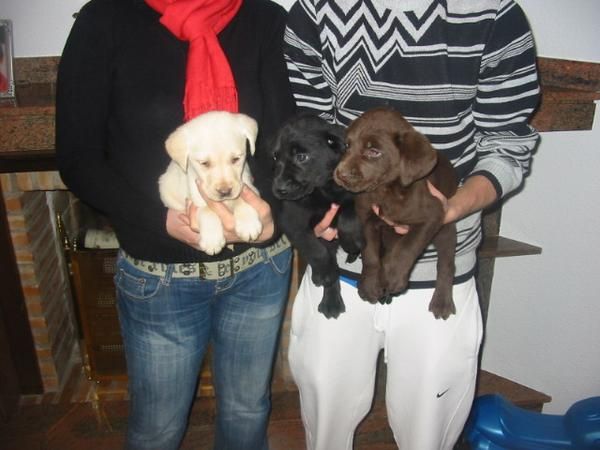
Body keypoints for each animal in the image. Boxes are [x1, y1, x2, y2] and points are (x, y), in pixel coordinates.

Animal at [159, 111, 262, 255]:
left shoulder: (248, 186)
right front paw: (212, 241)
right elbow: (208, 210)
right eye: (204, 163)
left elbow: (242, 200)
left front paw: (249, 225)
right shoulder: (195, 201)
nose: (225, 192)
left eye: (236, 159)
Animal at [270, 114, 360, 318]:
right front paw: (325, 274)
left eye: (301, 157)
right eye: (276, 157)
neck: (323, 191)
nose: (278, 189)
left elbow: (349, 218)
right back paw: (330, 299)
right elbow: (315, 249)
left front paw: (351, 243)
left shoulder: (358, 195)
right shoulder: (293, 220)